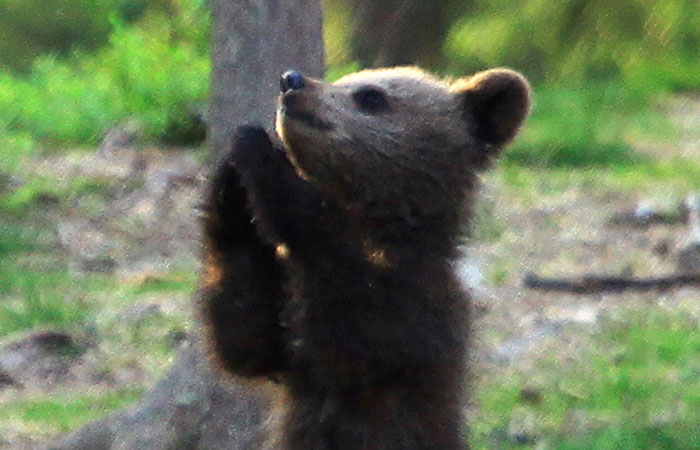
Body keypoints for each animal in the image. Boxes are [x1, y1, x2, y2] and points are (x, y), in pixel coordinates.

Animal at [199, 66, 531, 449]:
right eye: (345, 79)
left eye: (371, 95)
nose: (291, 80)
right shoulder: (290, 348)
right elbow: (244, 338)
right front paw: (232, 179)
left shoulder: (412, 320)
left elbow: (354, 330)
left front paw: (264, 154)